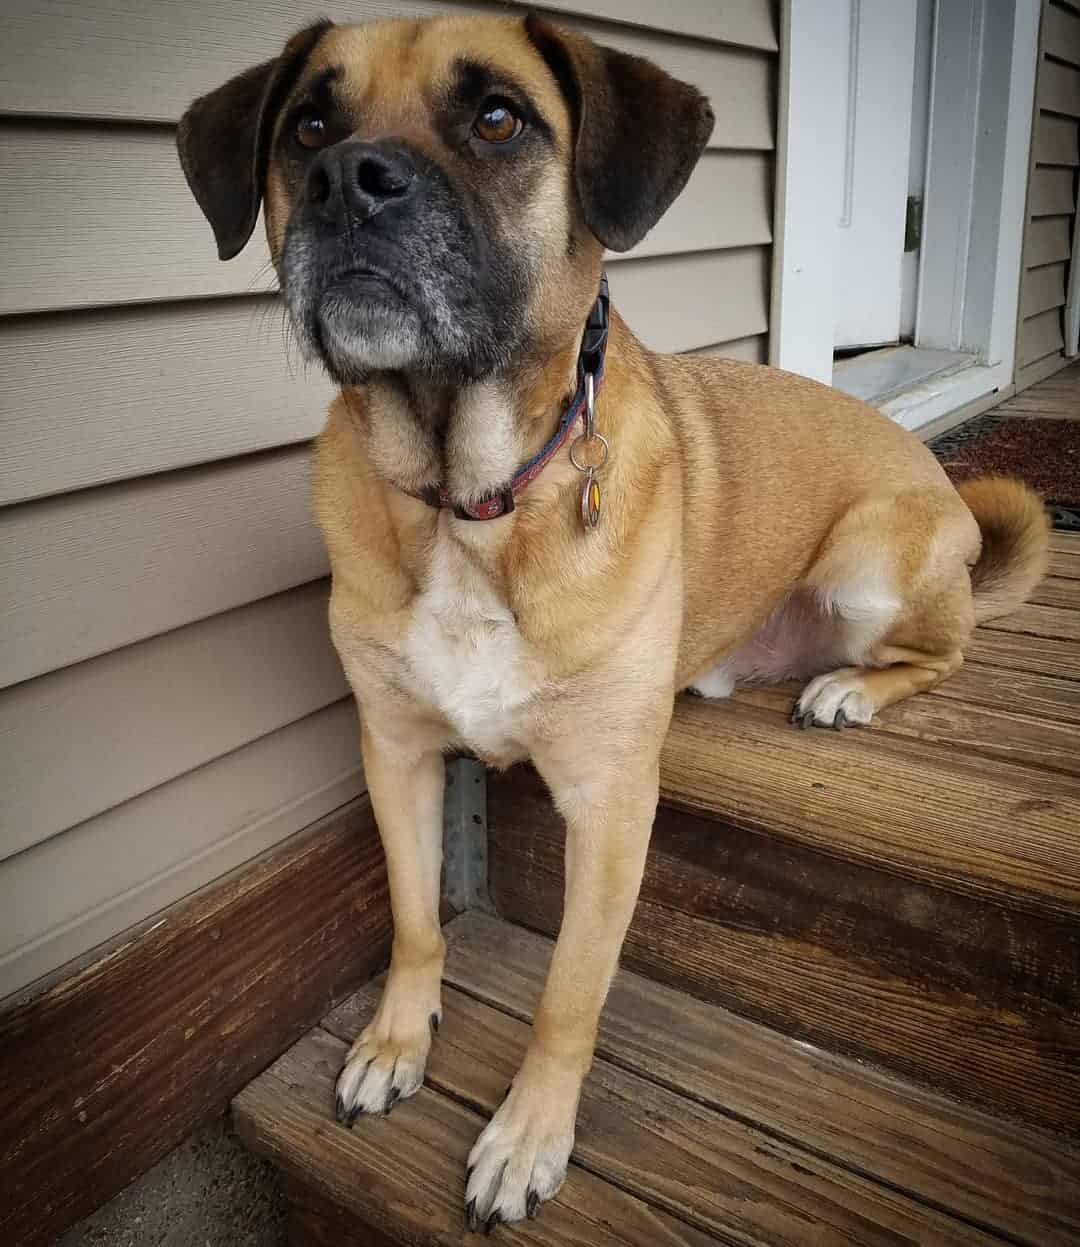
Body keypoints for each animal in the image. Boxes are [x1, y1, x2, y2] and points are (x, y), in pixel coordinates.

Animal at [177, 14, 1042, 1232]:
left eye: (498, 118)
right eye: (308, 125)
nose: (350, 180)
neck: (469, 497)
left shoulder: (609, 801)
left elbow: (566, 996)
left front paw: (527, 1134)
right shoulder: (394, 750)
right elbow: (413, 917)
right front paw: (397, 1039)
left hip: (873, 561)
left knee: (943, 649)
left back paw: (848, 690)